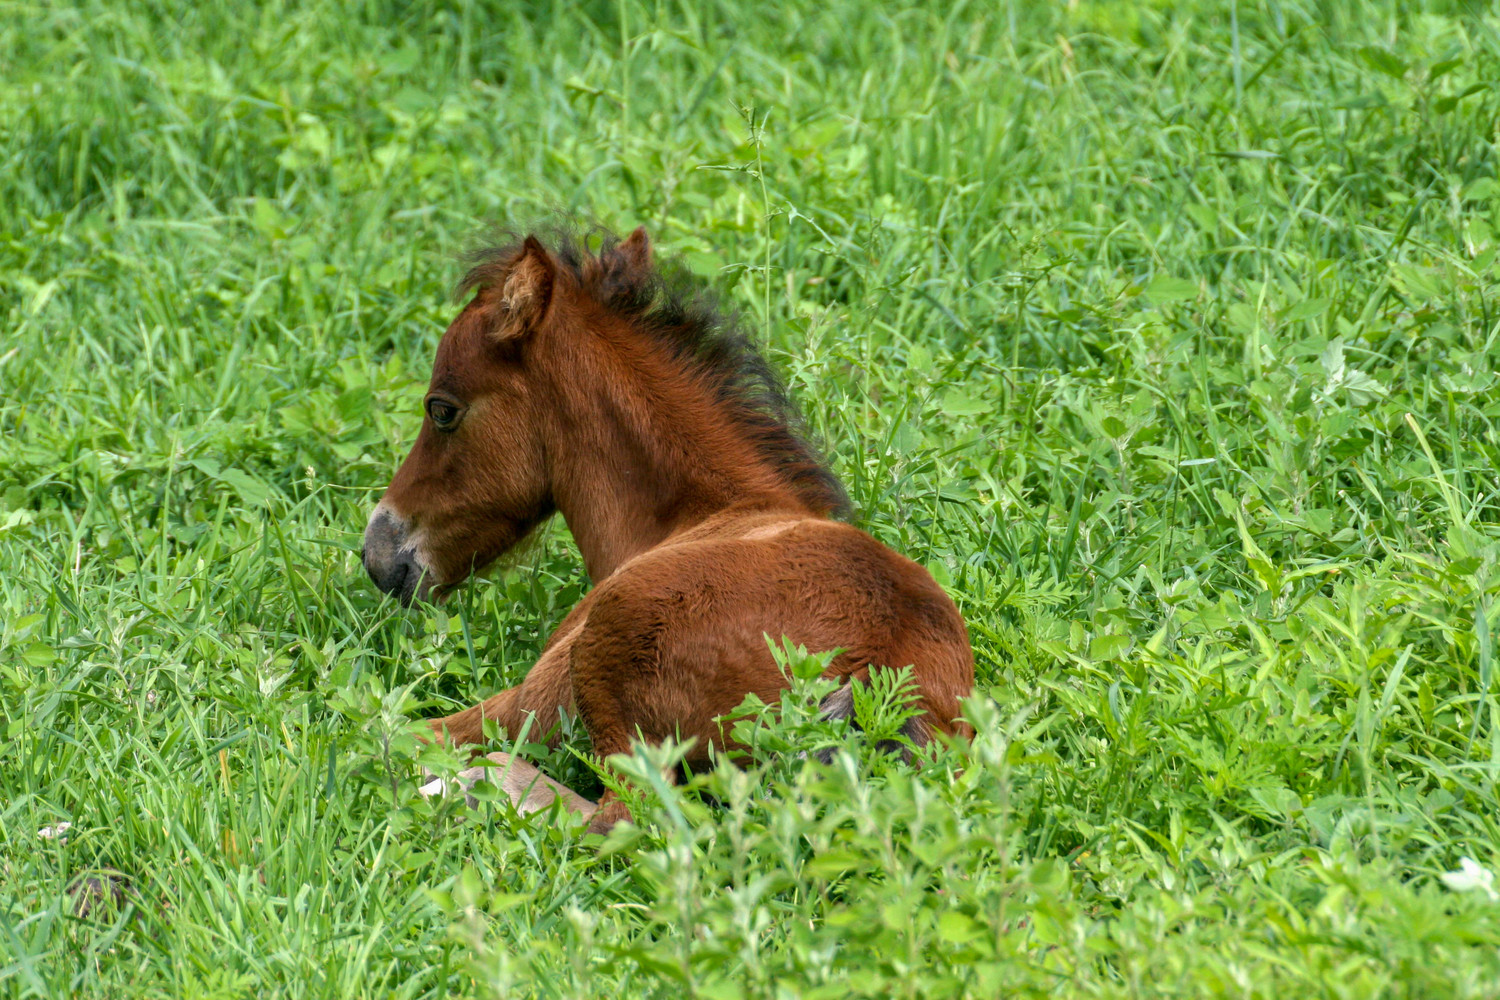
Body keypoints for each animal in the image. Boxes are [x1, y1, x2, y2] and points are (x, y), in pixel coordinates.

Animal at [360, 229, 972, 839]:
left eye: (442, 410)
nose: (378, 555)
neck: (702, 513)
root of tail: (883, 670)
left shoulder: (533, 702)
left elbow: (395, 732)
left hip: (608, 662)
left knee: (621, 818)